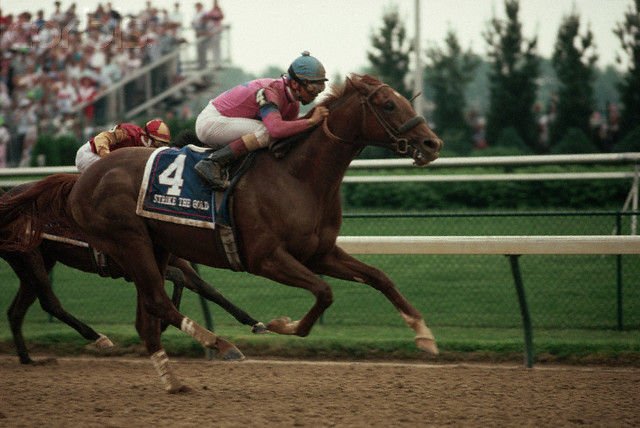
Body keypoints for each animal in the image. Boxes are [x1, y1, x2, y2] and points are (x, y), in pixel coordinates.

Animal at [0, 73, 442, 392]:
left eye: (408, 99)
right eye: (389, 104)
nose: (432, 142)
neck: (298, 176)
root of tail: (82, 181)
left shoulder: (320, 253)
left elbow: (379, 277)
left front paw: (424, 335)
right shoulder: (266, 258)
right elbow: (324, 292)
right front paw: (281, 325)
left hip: (151, 248)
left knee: (146, 317)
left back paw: (172, 380)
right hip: (125, 243)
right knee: (152, 303)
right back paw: (219, 345)